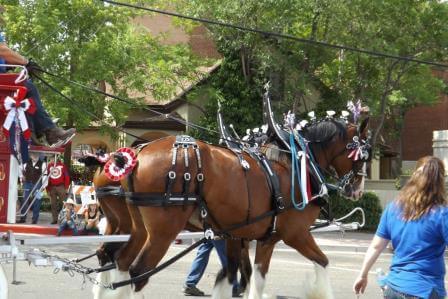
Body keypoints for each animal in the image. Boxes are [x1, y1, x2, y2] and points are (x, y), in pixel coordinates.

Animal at [123, 116, 372, 298]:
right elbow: (322, 262)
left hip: (140, 228)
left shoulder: (250, 237)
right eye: (363, 157)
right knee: (138, 272)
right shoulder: (295, 234)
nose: (358, 190)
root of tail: (139, 152)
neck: (297, 164)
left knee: (122, 263)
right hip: (163, 231)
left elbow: (237, 276)